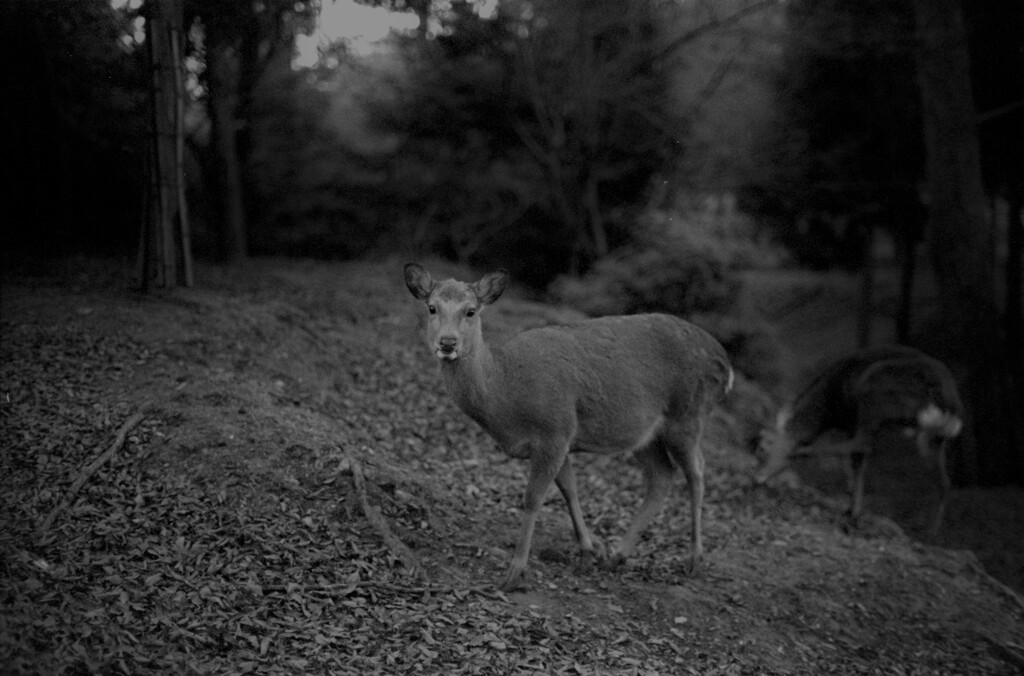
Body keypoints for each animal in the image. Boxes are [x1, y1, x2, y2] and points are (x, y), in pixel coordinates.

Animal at [403, 261, 733, 589]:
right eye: (432, 308)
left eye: (470, 311)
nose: (447, 343)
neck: (506, 392)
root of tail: (725, 364)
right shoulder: (561, 438)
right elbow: (569, 490)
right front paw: (587, 554)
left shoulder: (555, 428)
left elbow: (533, 498)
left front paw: (515, 572)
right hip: (645, 433)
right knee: (662, 475)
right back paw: (618, 556)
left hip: (688, 413)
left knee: (697, 471)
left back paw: (695, 560)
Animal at [753, 346, 958, 536]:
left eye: (763, 448)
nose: (758, 476)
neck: (830, 409)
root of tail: (947, 403)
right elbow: (857, 463)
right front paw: (853, 512)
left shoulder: (852, 420)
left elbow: (855, 459)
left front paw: (852, 512)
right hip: (937, 437)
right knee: (944, 481)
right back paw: (930, 534)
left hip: (875, 394)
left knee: (863, 444)